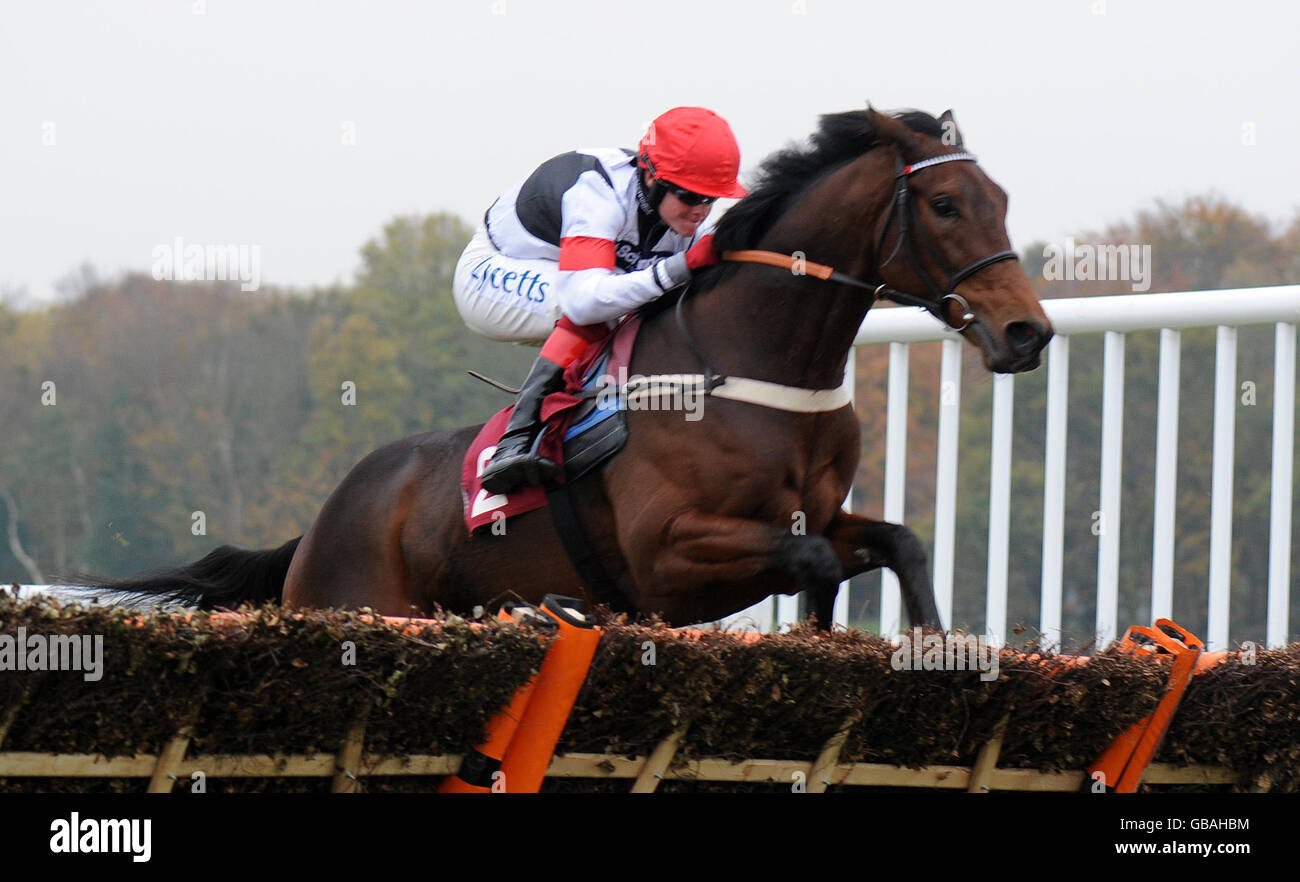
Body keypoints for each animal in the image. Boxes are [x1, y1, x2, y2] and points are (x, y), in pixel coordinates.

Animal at [101, 108, 1055, 634]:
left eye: (1003, 200)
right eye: (944, 204)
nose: (1028, 331)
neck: (759, 367)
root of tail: (320, 522)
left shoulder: (817, 511)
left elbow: (897, 542)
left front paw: (928, 642)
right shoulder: (666, 559)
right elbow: (815, 560)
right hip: (354, 604)